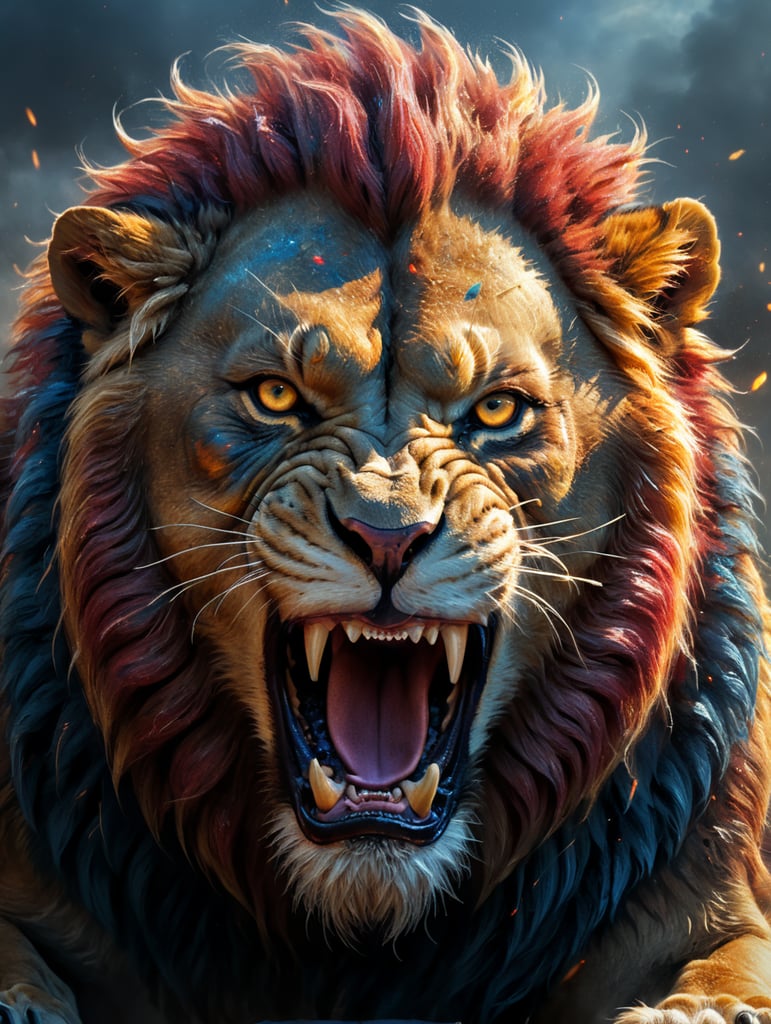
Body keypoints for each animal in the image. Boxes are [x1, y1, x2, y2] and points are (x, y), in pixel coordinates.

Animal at [1, 8, 770, 1024]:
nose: (388, 538)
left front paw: (704, 1010)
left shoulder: (702, 895)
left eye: (496, 410)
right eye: (276, 397)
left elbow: (729, 963)